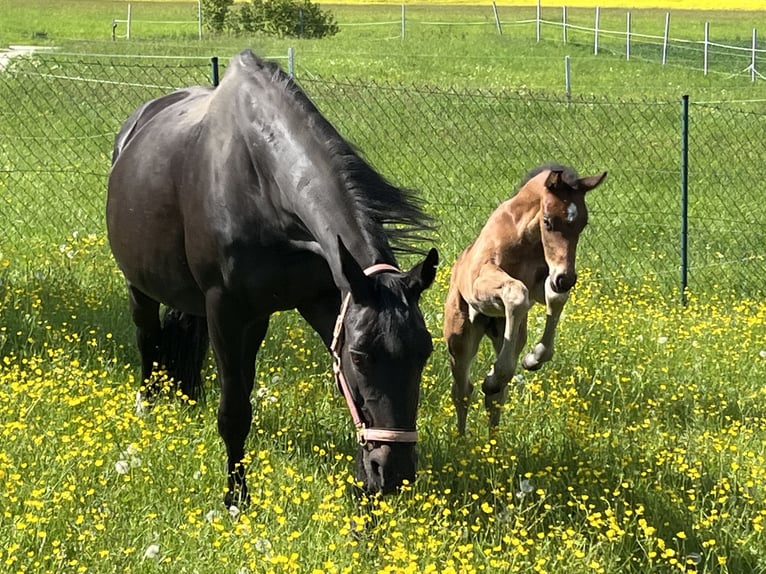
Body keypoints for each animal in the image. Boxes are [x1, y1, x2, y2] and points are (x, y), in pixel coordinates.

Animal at [109, 49, 444, 508]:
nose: (394, 472)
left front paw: (364, 487)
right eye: (361, 356)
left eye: (425, 352)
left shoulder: (323, 300)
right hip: (138, 286)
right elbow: (235, 411)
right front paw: (236, 499)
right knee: (147, 338)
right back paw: (148, 403)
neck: (261, 183)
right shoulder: (228, 311)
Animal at [444, 164, 608, 434]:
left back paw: (492, 437)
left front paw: (533, 359)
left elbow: (555, 297)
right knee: (462, 390)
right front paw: (499, 373)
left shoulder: (542, 284)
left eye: (583, 224)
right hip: (461, 336)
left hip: (510, 332)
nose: (566, 278)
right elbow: (516, 293)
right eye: (548, 221)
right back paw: (462, 439)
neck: (525, 238)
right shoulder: (481, 279)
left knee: (495, 397)